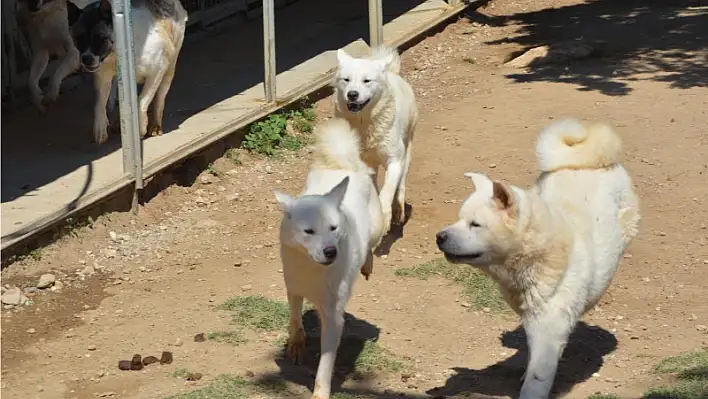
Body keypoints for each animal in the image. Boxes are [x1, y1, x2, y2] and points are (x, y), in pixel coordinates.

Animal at [72, 0, 187, 145]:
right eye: (79, 39)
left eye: (100, 39)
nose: (86, 58)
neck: (115, 55)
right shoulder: (102, 78)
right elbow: (99, 104)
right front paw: (100, 128)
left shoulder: (157, 72)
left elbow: (142, 101)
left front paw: (141, 127)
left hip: (169, 68)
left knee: (159, 98)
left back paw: (155, 126)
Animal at [274, 117, 384, 398]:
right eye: (309, 232)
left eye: (334, 228)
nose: (331, 251)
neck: (311, 269)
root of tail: (344, 165)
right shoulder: (293, 288)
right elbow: (295, 319)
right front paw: (296, 344)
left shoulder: (334, 317)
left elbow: (325, 365)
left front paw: (320, 392)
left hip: (376, 228)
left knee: (371, 245)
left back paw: (367, 262)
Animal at [334, 46, 418, 234]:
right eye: (346, 80)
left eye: (366, 81)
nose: (352, 94)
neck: (365, 125)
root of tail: (391, 72)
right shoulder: (361, 164)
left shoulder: (395, 161)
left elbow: (387, 191)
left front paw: (385, 218)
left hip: (407, 151)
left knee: (400, 184)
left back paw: (398, 211)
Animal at [436, 119, 640, 399]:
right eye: (459, 219)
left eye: (475, 224)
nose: (439, 237)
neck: (536, 254)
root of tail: (587, 160)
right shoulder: (533, 322)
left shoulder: (549, 330)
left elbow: (537, 377)